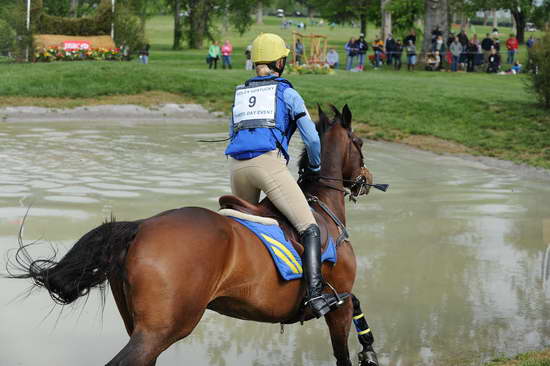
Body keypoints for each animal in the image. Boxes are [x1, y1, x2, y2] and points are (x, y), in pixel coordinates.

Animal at [10, 104, 386, 364]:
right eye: (359, 141)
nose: (366, 179)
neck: (322, 207)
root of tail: (141, 226)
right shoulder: (337, 302)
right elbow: (344, 342)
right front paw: (367, 350)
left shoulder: (340, 297)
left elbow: (358, 307)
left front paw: (369, 347)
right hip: (163, 329)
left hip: (141, 326)